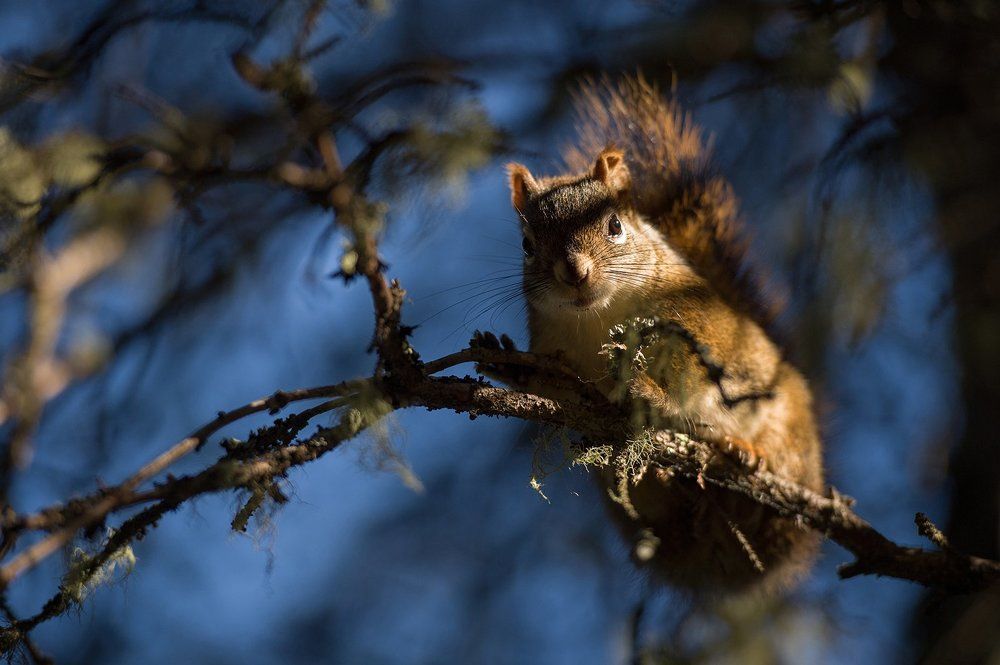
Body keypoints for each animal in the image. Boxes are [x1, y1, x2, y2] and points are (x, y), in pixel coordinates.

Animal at [489, 75, 825, 594]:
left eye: (614, 225)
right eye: (526, 245)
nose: (574, 273)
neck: (598, 318)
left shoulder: (698, 325)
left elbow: (690, 377)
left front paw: (648, 391)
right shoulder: (552, 349)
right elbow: (552, 386)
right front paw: (507, 366)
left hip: (787, 422)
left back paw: (748, 453)